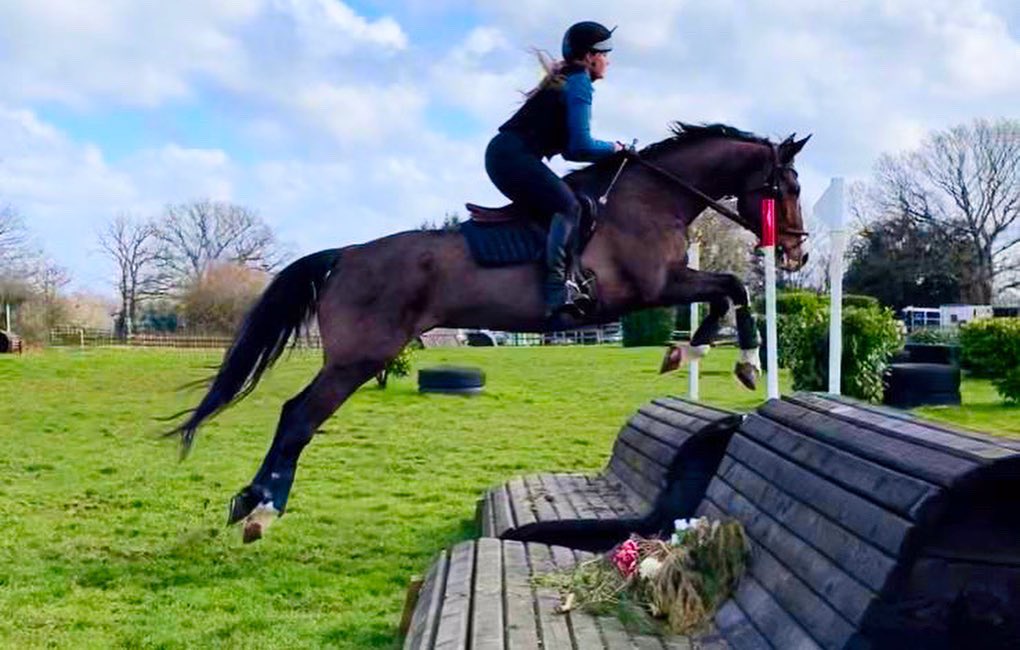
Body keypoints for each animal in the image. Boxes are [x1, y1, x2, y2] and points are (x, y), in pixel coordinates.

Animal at [169, 122, 810, 542]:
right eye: (791, 188)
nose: (797, 255)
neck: (652, 200)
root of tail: (345, 253)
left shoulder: (668, 285)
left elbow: (725, 292)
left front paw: (692, 351)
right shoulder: (651, 289)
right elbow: (733, 287)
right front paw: (742, 359)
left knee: (293, 416)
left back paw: (250, 503)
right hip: (359, 357)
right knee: (299, 416)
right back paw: (262, 510)